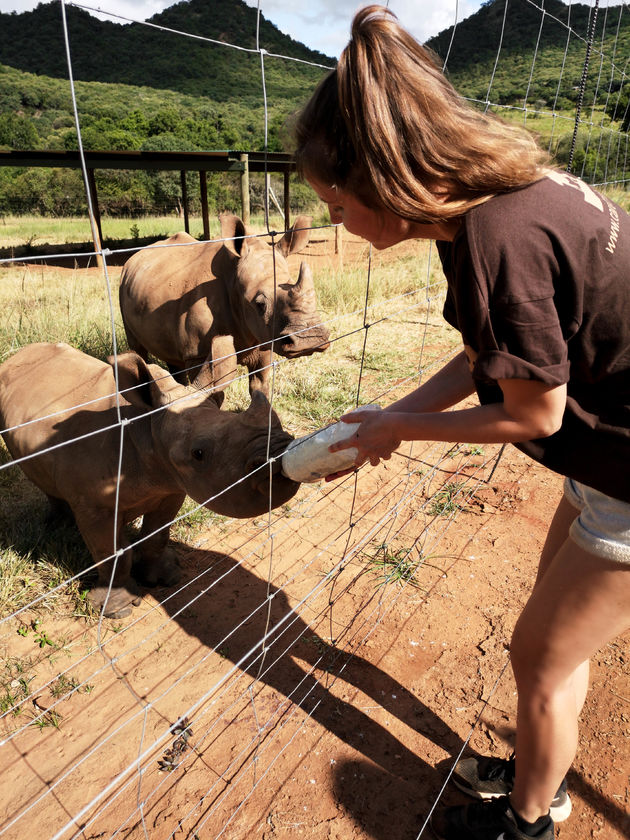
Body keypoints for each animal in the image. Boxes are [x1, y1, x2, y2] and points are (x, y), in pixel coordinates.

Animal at [0, 342, 302, 616]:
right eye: (198, 453)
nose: (279, 451)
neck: (147, 428)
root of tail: (17, 356)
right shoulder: (94, 505)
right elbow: (110, 552)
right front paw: (116, 610)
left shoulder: (172, 486)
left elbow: (156, 535)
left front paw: (165, 577)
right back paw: (58, 524)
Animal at [120, 215, 334, 402]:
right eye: (260, 304)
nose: (310, 340)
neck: (234, 283)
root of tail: (133, 258)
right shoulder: (196, 353)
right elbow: (211, 392)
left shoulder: (266, 338)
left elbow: (260, 388)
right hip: (122, 286)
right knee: (137, 349)